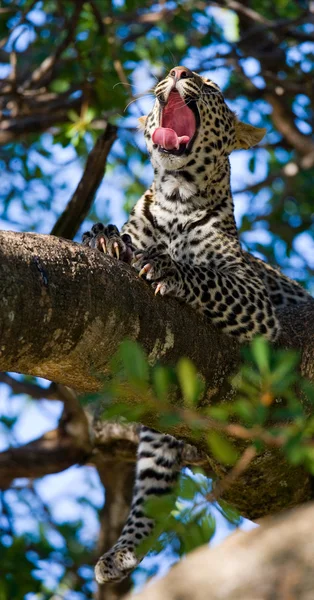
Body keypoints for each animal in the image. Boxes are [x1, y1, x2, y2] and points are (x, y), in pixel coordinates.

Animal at [82, 67, 312, 584]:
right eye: (174, 73)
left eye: (210, 85)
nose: (177, 72)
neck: (175, 199)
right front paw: (105, 238)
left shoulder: (253, 299)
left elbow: (206, 277)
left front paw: (168, 268)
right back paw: (118, 556)